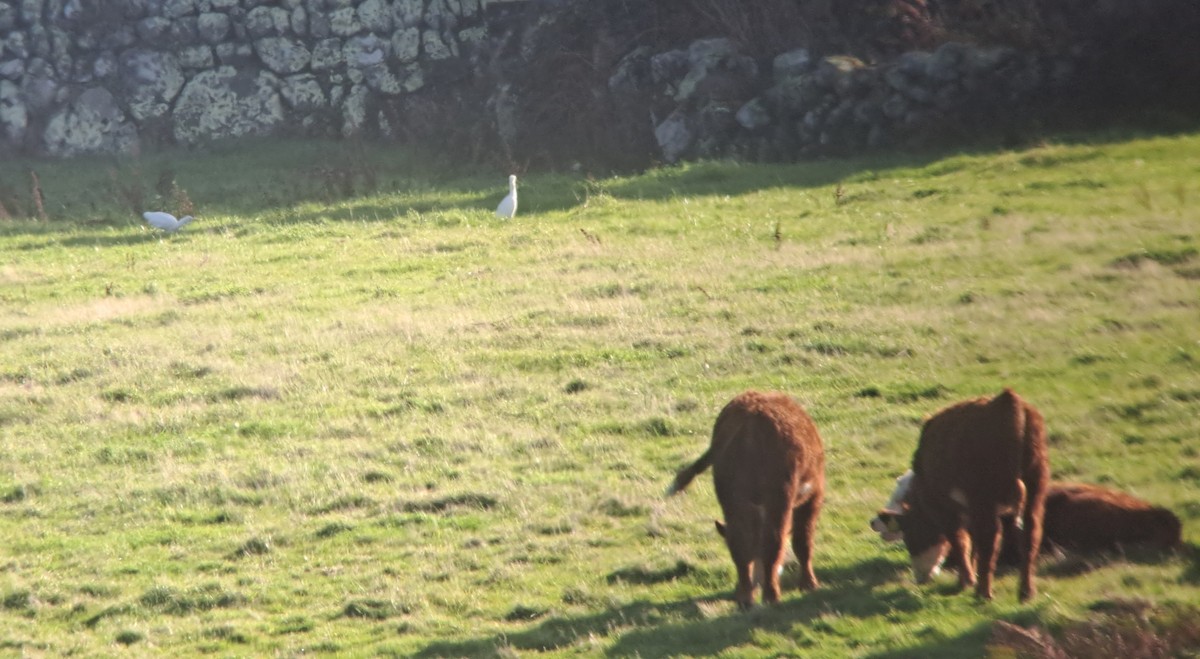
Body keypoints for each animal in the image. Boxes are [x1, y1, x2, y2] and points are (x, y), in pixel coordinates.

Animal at [667, 390, 825, 608]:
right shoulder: (813, 495)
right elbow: (803, 542)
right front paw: (809, 584)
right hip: (780, 499)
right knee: (773, 542)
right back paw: (771, 596)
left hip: (734, 501)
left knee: (741, 545)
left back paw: (746, 597)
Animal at [890, 389, 1049, 602]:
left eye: (910, 538)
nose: (919, 578)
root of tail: (1008, 401)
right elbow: (972, 542)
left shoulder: (947, 511)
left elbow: (960, 542)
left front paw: (966, 580)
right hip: (1035, 489)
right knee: (1031, 534)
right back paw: (1025, 591)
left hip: (985, 500)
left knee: (989, 539)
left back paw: (984, 592)